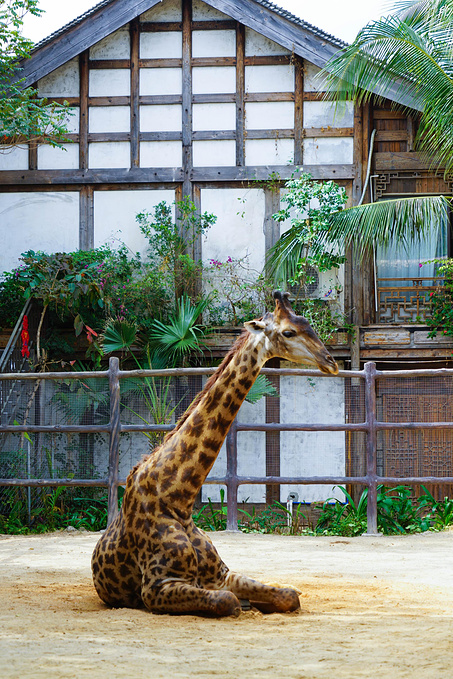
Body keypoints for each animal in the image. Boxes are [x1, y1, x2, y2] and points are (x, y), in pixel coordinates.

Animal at [92, 290, 338, 620]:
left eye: (308, 324)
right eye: (289, 332)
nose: (330, 362)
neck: (177, 498)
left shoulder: (221, 574)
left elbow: (288, 596)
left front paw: (263, 600)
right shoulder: (155, 587)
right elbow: (226, 602)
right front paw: (243, 603)